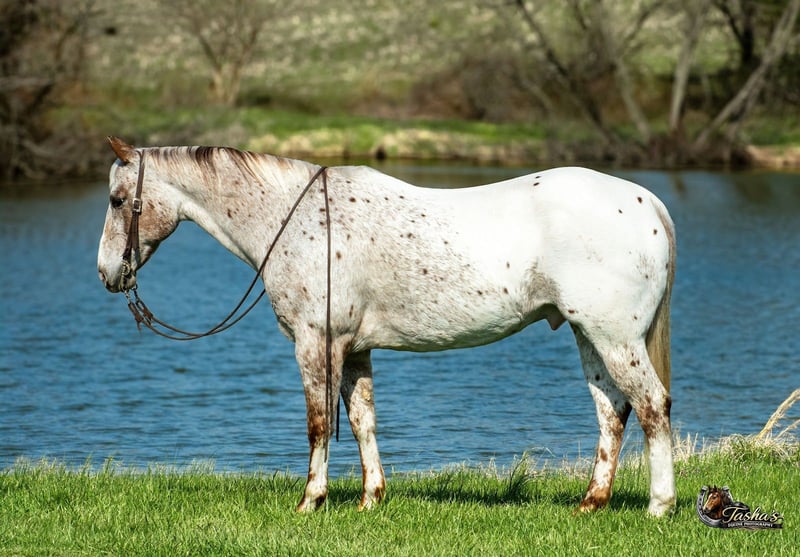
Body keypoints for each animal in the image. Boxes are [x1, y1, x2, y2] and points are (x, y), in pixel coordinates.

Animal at [97, 137, 677, 516]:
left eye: (117, 199)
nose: (107, 273)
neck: (299, 218)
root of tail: (647, 202)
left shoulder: (315, 344)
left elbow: (317, 424)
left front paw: (310, 501)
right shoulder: (353, 349)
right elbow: (362, 422)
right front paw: (370, 499)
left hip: (614, 337)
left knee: (652, 407)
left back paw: (660, 506)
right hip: (590, 336)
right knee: (613, 413)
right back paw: (591, 503)